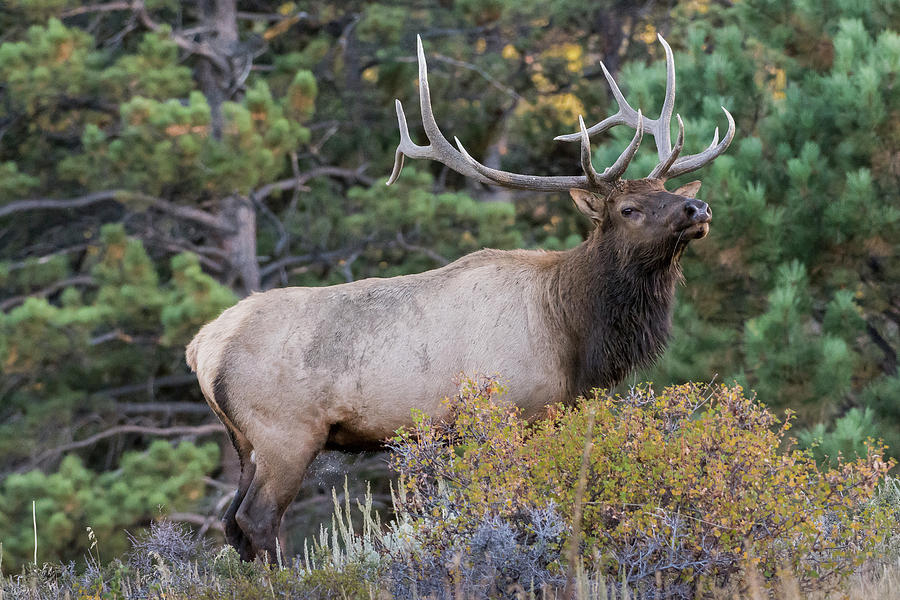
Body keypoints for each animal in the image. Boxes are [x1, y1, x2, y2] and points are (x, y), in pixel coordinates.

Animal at [186, 34, 736, 564]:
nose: (698, 207)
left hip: (245, 441)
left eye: (667, 191)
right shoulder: (507, 411)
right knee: (257, 521)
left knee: (232, 524)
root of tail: (202, 346)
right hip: (285, 433)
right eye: (628, 208)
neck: (573, 332)